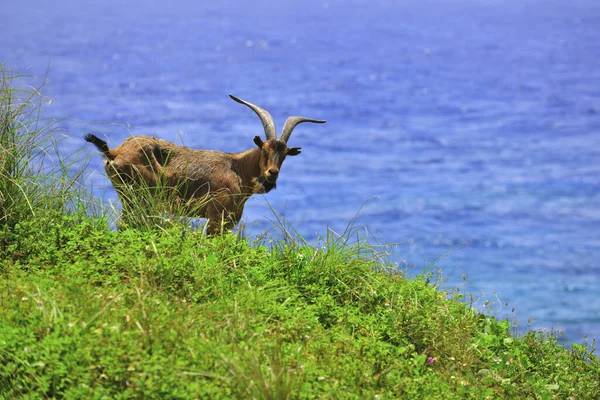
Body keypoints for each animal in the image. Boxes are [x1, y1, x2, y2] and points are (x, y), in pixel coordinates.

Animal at [85, 95, 324, 233]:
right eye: (264, 149)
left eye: (284, 154)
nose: (271, 174)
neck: (237, 168)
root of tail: (114, 152)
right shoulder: (216, 216)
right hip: (138, 198)